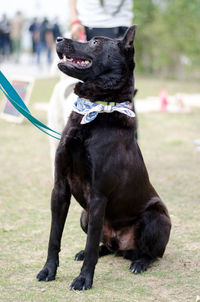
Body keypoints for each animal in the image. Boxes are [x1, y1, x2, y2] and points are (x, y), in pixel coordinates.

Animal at [37, 25, 172, 290]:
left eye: (95, 43)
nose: (58, 38)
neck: (97, 107)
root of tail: (122, 244)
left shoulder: (98, 195)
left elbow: (90, 245)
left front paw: (83, 279)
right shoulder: (60, 189)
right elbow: (54, 237)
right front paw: (49, 270)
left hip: (156, 217)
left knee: (150, 253)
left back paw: (140, 262)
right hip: (85, 215)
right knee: (104, 244)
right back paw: (98, 250)